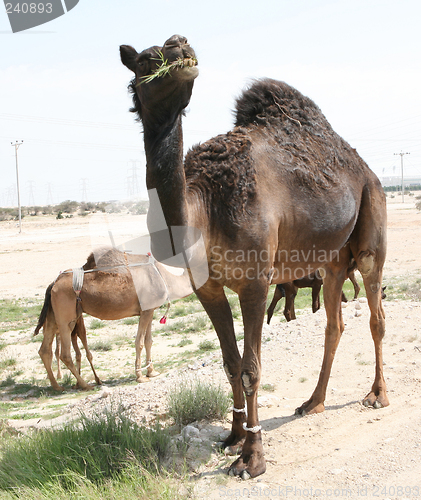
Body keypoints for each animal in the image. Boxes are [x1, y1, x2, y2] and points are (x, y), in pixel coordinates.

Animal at [34, 248, 192, 392]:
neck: (164, 277)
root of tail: (53, 284)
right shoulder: (146, 310)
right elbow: (139, 342)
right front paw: (140, 376)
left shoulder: (149, 310)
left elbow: (148, 341)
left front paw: (152, 372)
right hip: (66, 316)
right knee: (65, 354)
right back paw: (86, 385)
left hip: (53, 315)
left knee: (44, 350)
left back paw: (57, 386)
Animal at [119, 33, 388, 478]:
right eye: (145, 61)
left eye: (167, 50)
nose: (179, 45)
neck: (203, 208)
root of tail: (365, 168)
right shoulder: (207, 288)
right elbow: (229, 363)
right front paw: (232, 437)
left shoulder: (256, 281)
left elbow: (250, 369)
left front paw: (252, 457)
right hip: (332, 259)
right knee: (334, 323)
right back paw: (313, 402)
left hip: (371, 221)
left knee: (376, 313)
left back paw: (378, 395)